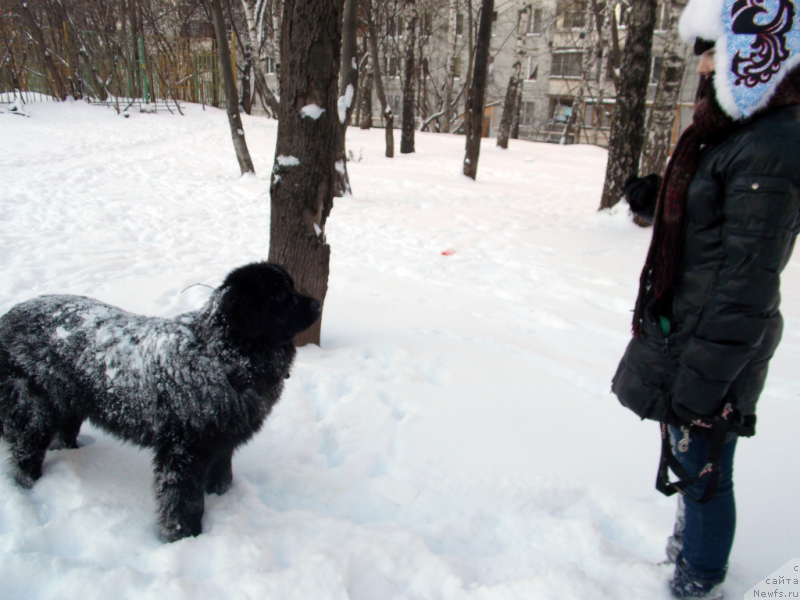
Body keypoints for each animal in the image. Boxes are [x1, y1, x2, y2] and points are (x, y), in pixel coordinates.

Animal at [0, 260, 318, 540]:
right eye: (280, 295)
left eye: (292, 287)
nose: (316, 303)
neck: (223, 358)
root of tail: (8, 316)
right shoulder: (184, 450)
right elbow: (185, 502)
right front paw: (186, 537)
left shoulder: (223, 440)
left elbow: (222, 476)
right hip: (34, 412)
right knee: (26, 455)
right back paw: (31, 488)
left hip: (68, 405)